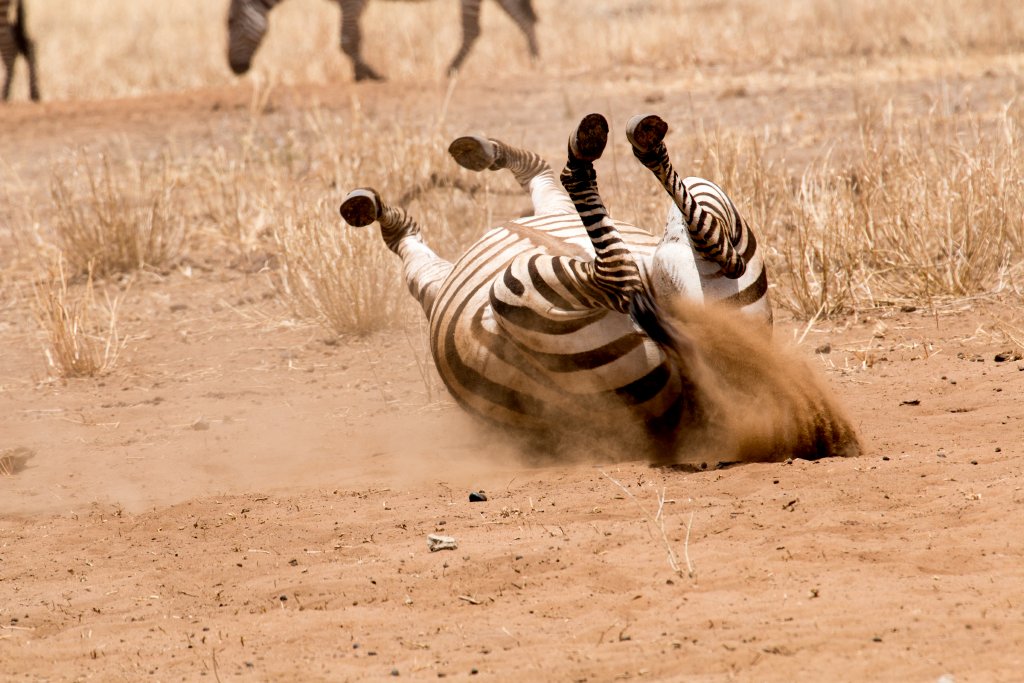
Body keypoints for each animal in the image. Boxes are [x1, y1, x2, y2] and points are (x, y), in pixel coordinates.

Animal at [227, 0, 538, 82]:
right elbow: (352, 39)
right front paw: (361, 75)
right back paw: (535, 62)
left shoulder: (350, 1)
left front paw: (370, 76)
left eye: (229, 23)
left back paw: (451, 70)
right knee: (521, 15)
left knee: (473, 29)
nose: (235, 69)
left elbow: (347, 40)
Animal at [339, 113, 859, 463]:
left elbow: (531, 169)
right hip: (525, 295)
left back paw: (614, 148)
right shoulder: (433, 280)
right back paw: (616, 150)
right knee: (629, 270)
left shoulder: (519, 217)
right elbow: (410, 239)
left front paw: (477, 151)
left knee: (678, 251)